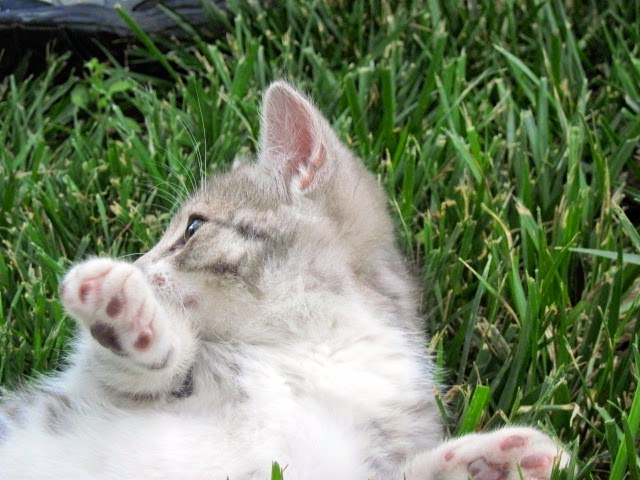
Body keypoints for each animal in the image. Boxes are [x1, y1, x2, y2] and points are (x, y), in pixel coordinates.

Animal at [0, 81, 569, 479]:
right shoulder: (92, 391)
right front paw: (130, 310)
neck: (313, 351)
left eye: (193, 227)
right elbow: (122, 366)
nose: (139, 266)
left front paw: (489, 462)